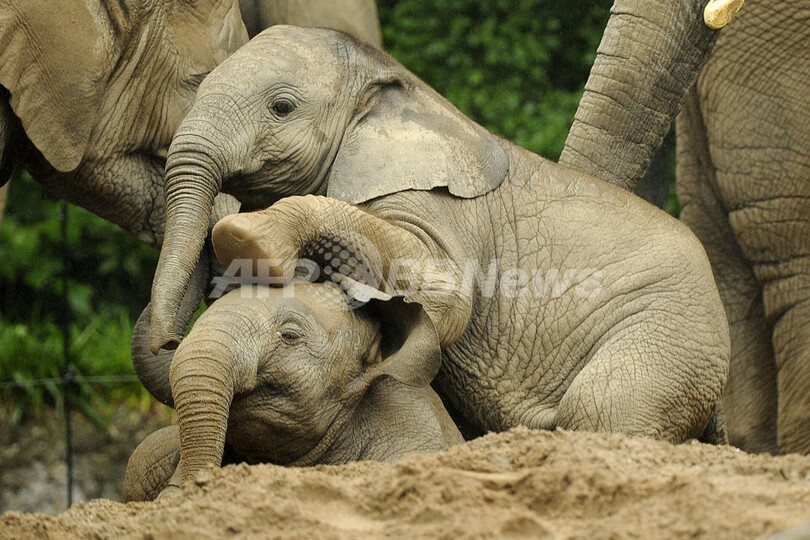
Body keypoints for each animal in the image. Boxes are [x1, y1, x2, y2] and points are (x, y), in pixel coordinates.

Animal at [147, 25, 732, 484]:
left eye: (281, 107)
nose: (169, 340)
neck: (395, 85)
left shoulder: (438, 208)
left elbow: (446, 299)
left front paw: (246, 237)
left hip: (668, 337)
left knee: (602, 409)